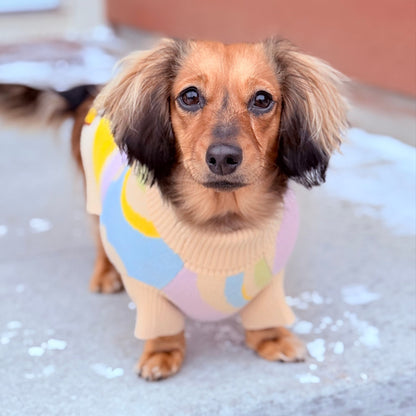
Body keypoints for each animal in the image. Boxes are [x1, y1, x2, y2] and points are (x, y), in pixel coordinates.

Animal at [0, 38, 348, 380]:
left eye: (262, 99)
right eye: (190, 96)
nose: (223, 157)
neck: (221, 222)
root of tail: (90, 89)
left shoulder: (269, 281)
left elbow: (265, 313)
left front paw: (272, 338)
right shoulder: (149, 290)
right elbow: (162, 325)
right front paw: (162, 352)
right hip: (93, 197)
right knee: (100, 240)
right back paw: (104, 274)